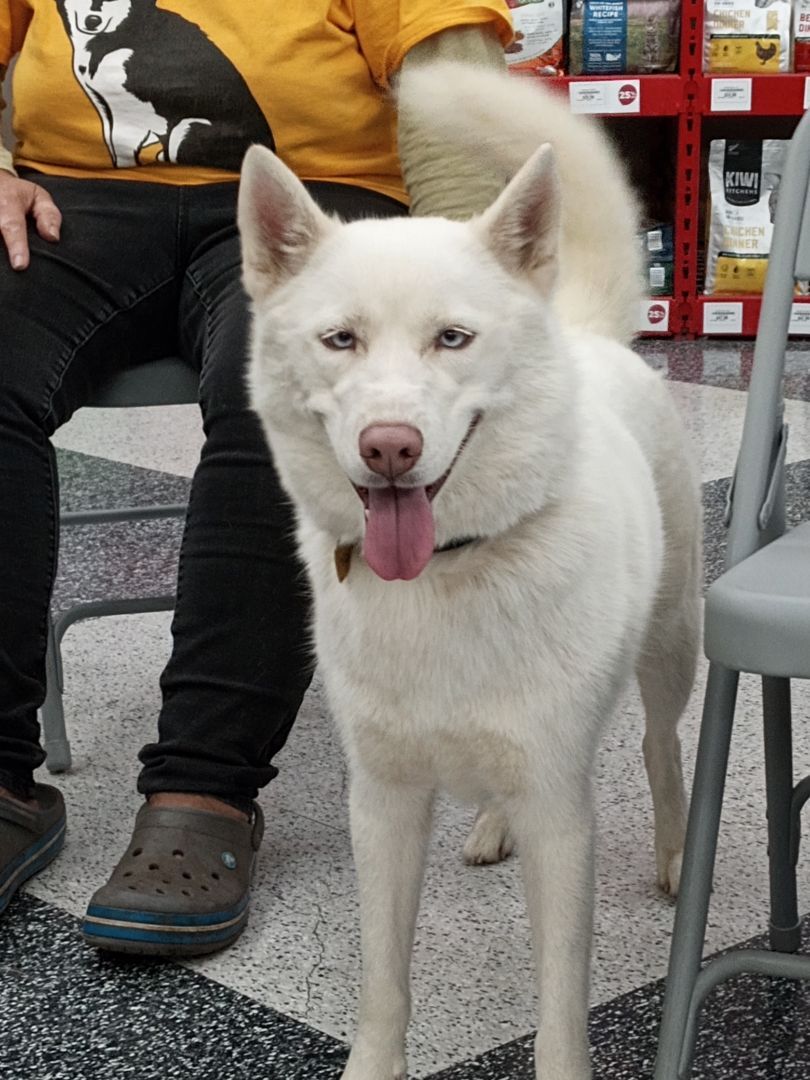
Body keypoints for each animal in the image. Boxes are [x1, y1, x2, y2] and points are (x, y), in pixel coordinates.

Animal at [236, 61, 704, 1080]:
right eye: (341, 339)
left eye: (452, 338)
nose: (391, 448)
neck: (447, 573)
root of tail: (580, 329)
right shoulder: (382, 804)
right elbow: (382, 981)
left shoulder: (563, 818)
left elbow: (561, 1007)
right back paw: (491, 827)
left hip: (672, 645)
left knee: (661, 744)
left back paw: (675, 853)